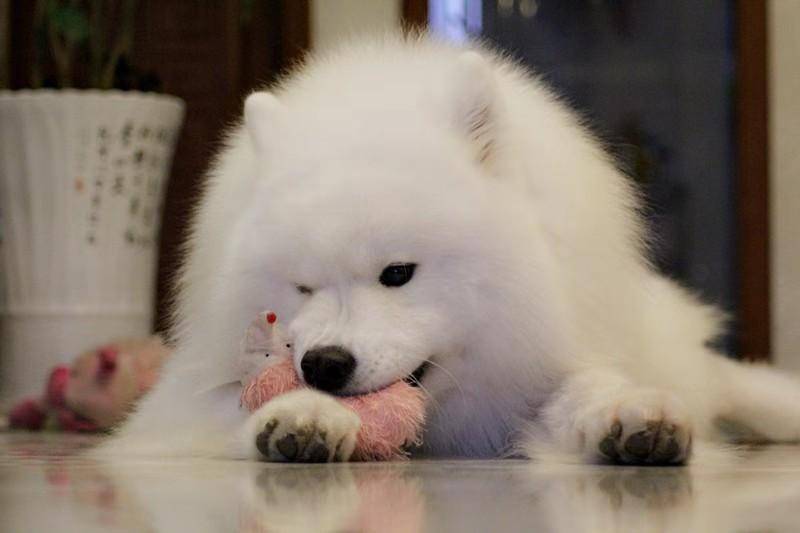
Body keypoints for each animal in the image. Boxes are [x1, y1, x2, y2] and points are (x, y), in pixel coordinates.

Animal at [103, 35, 800, 464]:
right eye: (301, 287)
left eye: (398, 274)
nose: (324, 365)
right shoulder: (179, 403)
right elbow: (235, 405)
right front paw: (303, 417)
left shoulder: (540, 371)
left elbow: (587, 390)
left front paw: (630, 417)